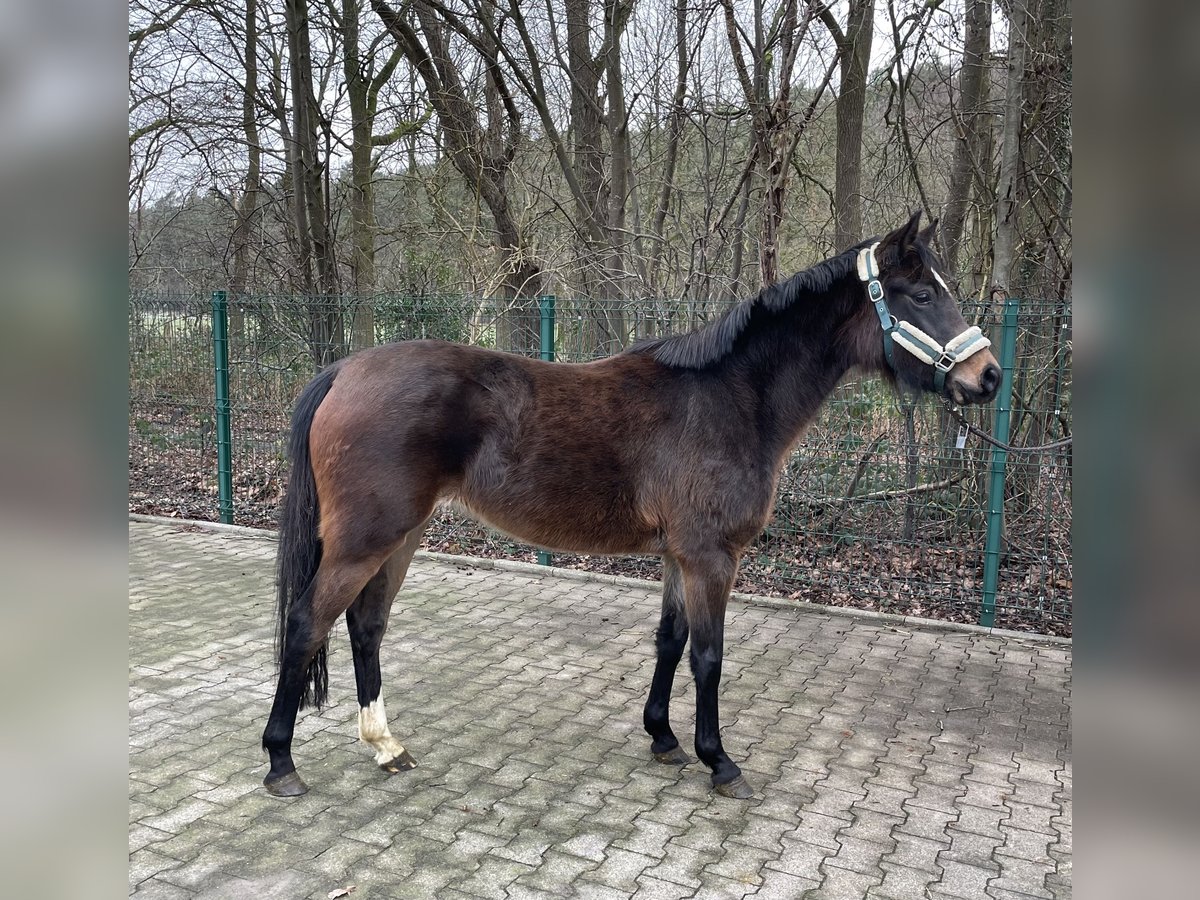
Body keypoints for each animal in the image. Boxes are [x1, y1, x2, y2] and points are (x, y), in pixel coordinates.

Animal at [262, 213, 1003, 801]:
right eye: (921, 294)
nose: (988, 376)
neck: (729, 398)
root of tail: (345, 371)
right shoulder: (710, 557)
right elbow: (708, 655)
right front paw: (719, 761)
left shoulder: (679, 555)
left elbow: (669, 641)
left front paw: (663, 737)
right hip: (365, 539)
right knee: (306, 624)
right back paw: (281, 763)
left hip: (402, 535)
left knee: (365, 627)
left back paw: (386, 745)